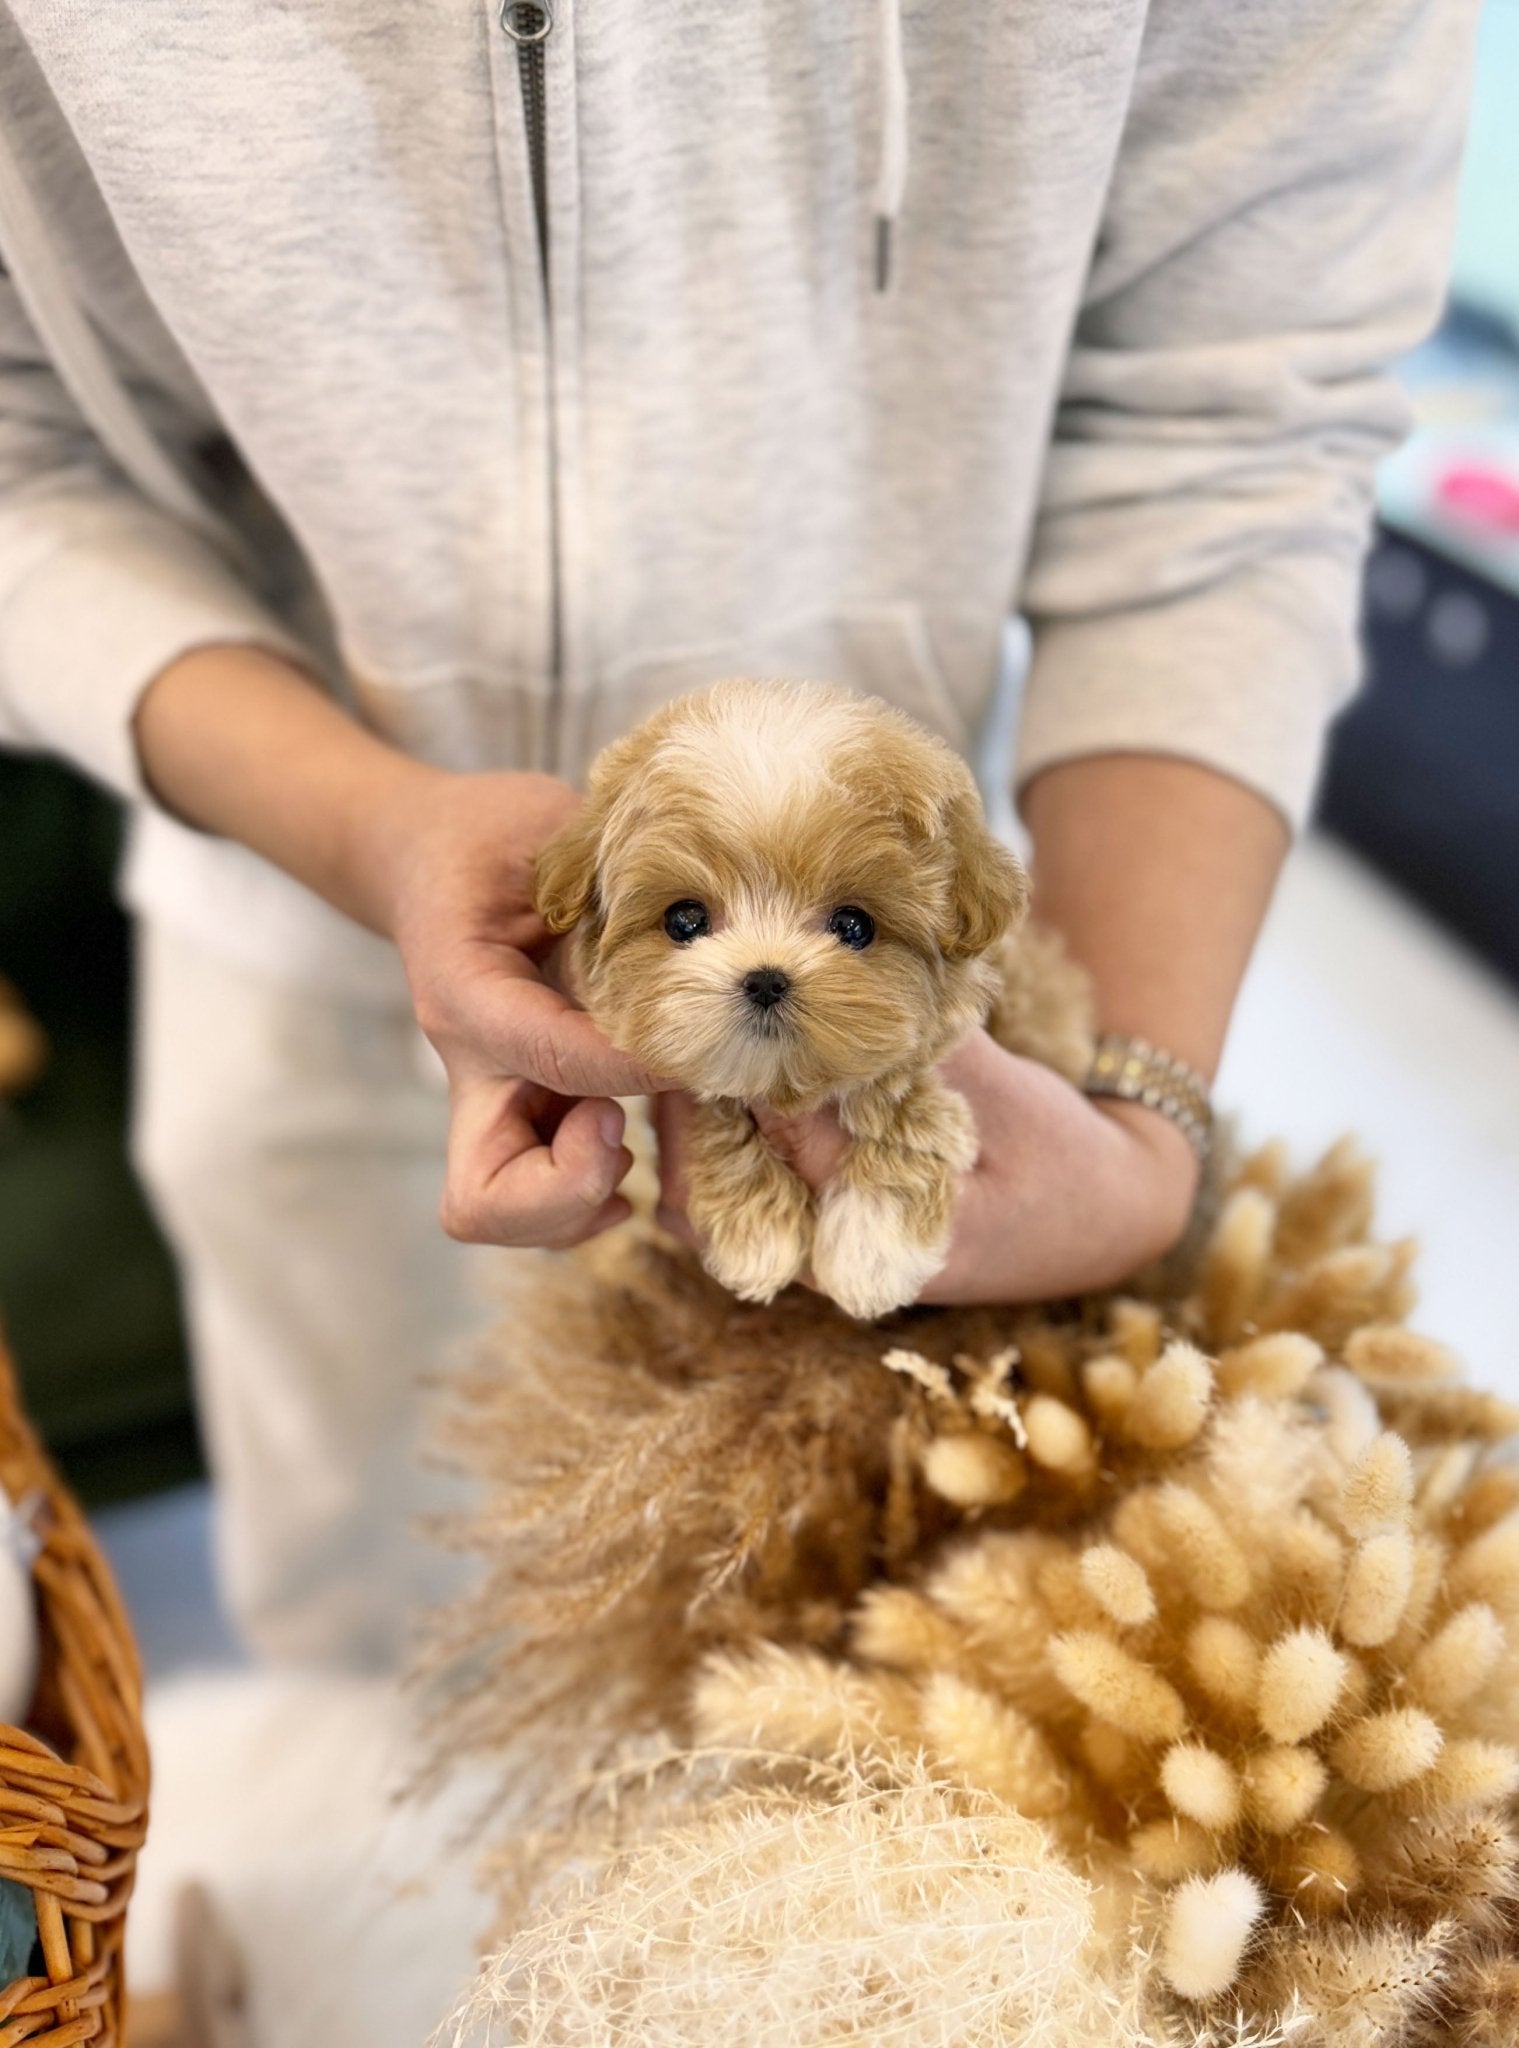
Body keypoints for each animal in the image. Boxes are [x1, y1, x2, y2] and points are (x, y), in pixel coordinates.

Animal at [536, 679, 1097, 1318]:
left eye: (853, 926)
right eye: (684, 920)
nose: (765, 979)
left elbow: (905, 1108)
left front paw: (873, 1251)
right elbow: (722, 1110)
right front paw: (755, 1234)